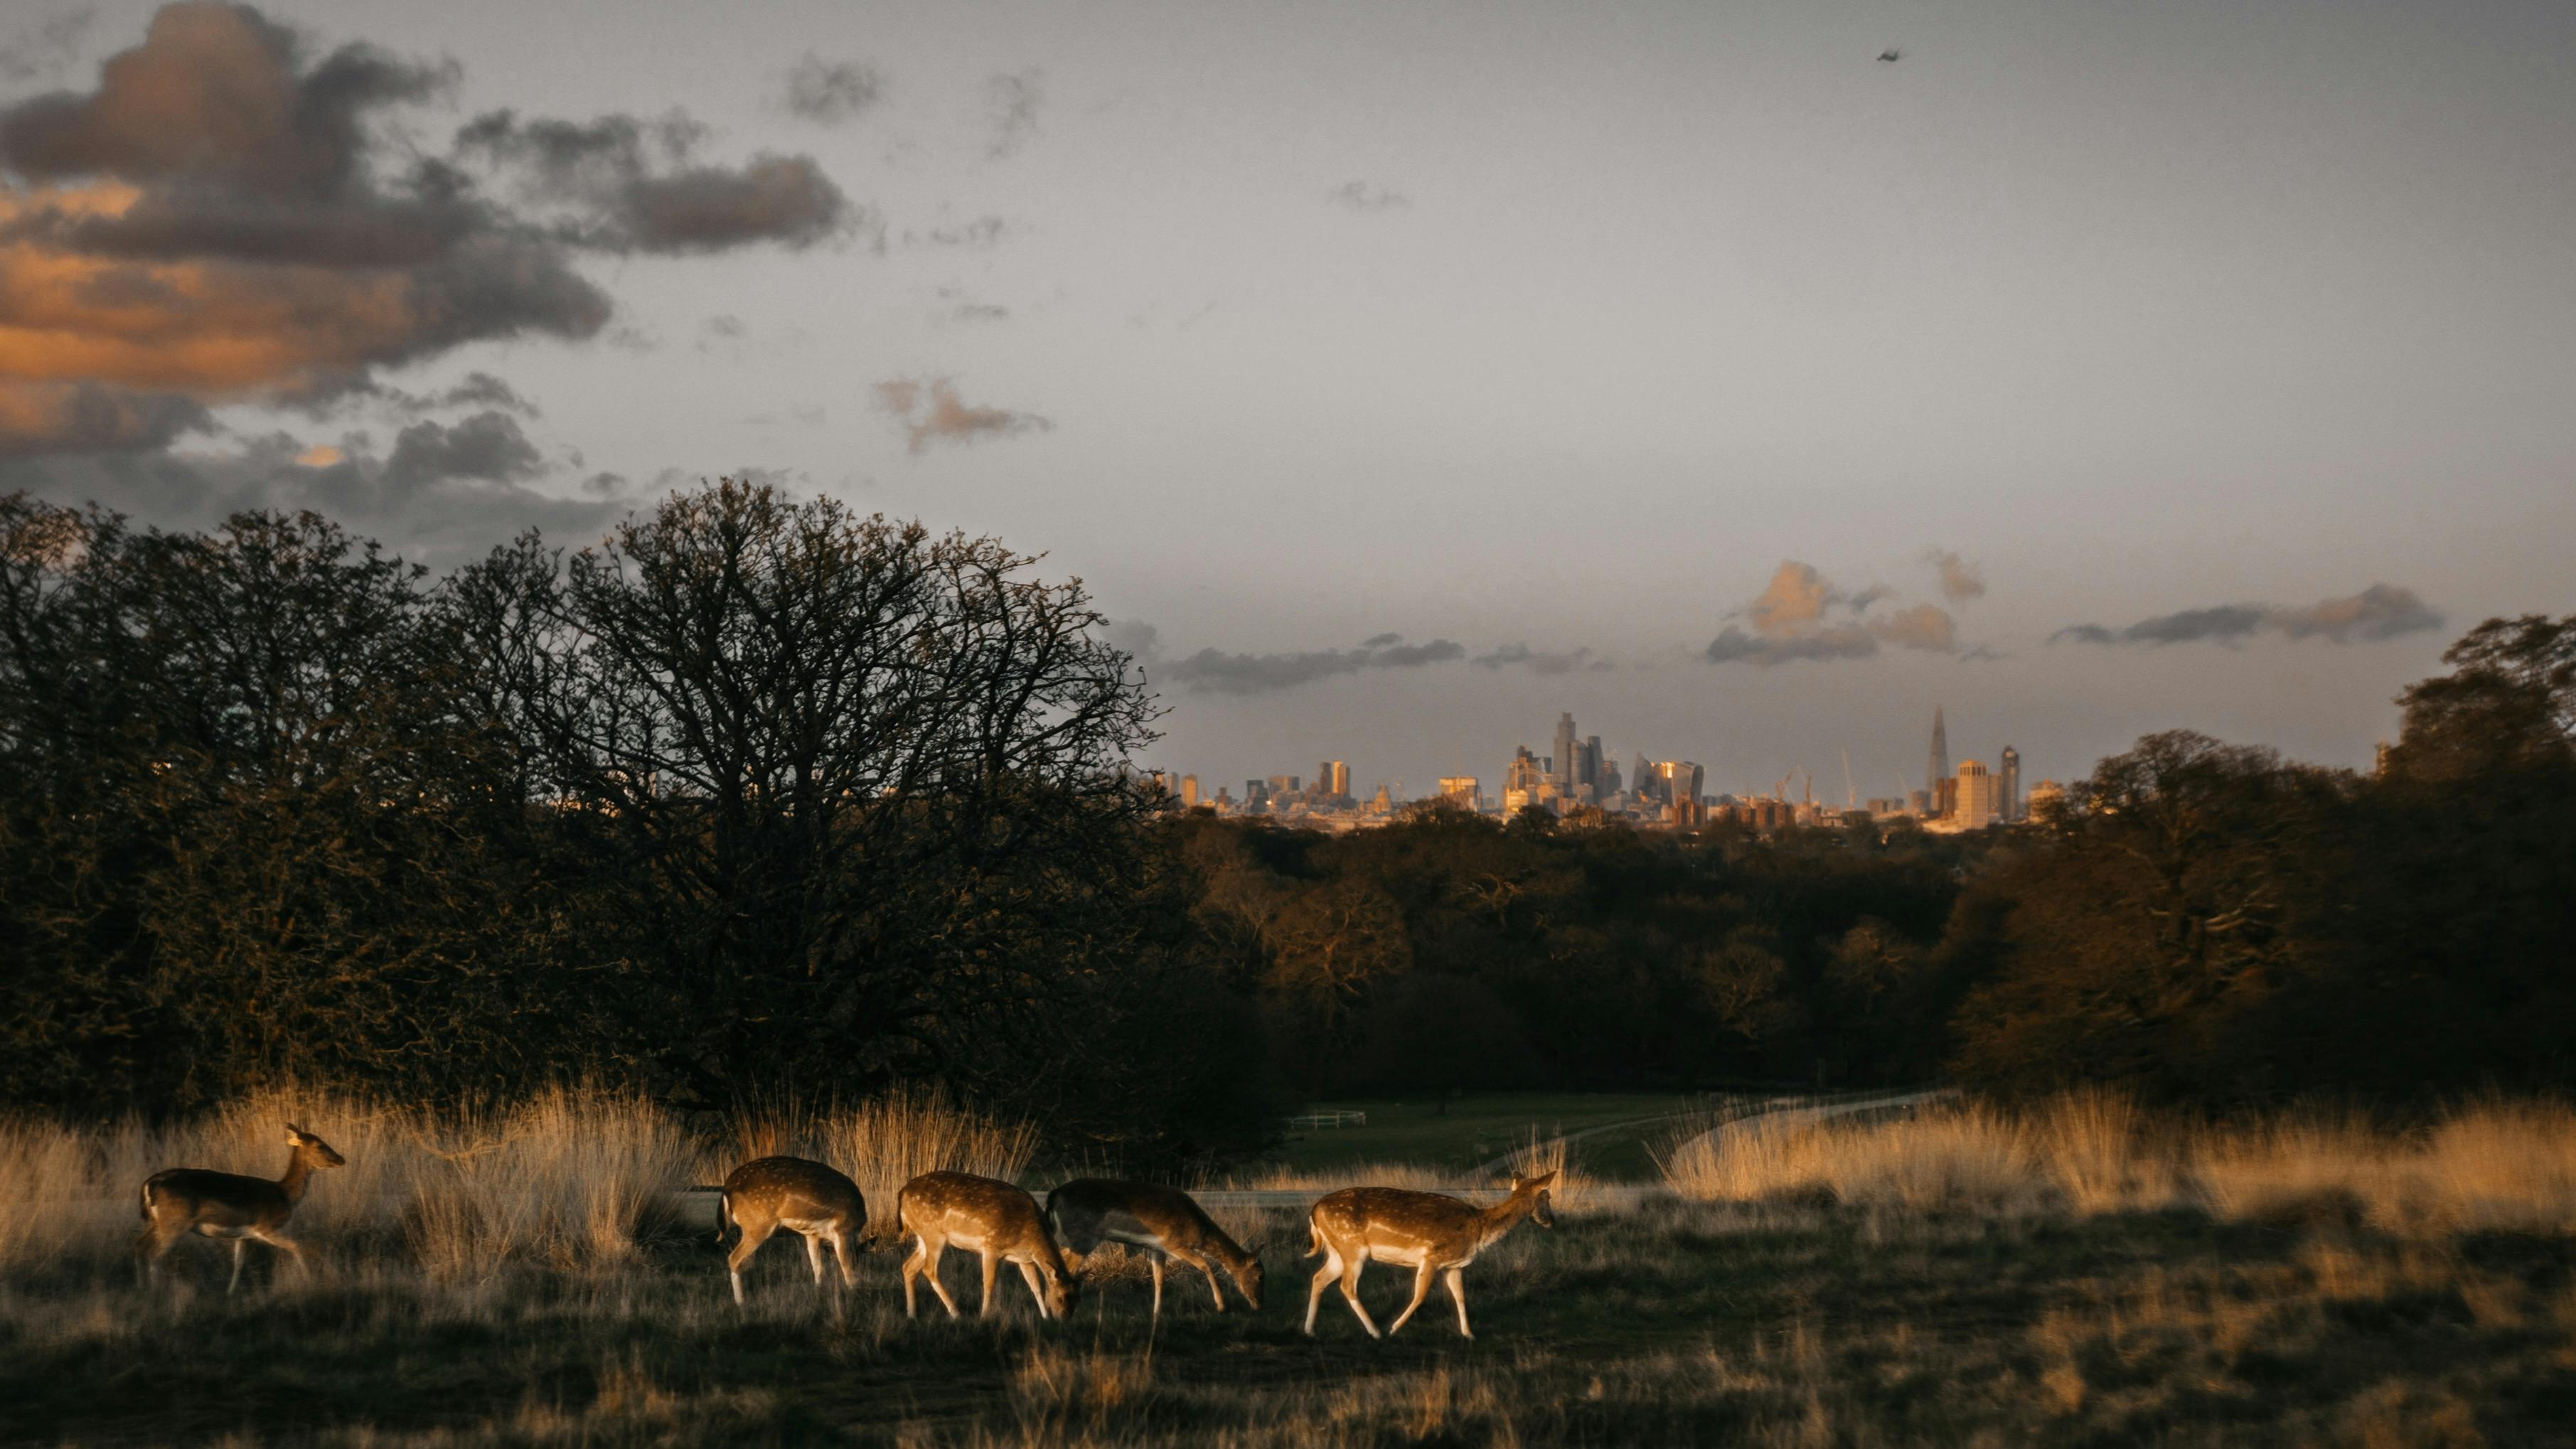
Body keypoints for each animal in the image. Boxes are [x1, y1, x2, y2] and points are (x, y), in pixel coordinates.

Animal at [137, 1124, 347, 1294]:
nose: (341, 1159)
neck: (285, 1195)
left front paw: (230, 1292)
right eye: (320, 1145)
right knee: (154, 1253)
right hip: (175, 1222)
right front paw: (308, 1279)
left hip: (158, 1222)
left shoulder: (244, 1235)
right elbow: (297, 1246)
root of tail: (149, 1184)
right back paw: (155, 1291)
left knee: (140, 1245)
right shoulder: (265, 1226)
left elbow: (238, 1263)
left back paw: (143, 1288)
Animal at [715, 1156, 867, 1306]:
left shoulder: (812, 1234)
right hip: (757, 1225)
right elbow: (849, 1273)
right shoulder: (843, 1231)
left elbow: (818, 1267)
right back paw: (741, 1303)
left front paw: (819, 1293)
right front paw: (854, 1297)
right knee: (734, 1258)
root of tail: (728, 1188)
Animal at [896, 1170, 1077, 1322]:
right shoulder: (991, 1245)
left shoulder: (1025, 1259)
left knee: (908, 1266)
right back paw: (956, 1313)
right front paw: (984, 1316)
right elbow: (989, 1283)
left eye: (1077, 1298)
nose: (1064, 1320)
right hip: (934, 1234)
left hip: (923, 1236)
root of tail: (902, 1192)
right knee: (928, 1269)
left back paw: (912, 1314)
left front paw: (1045, 1317)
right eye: (1059, 1298)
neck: (1030, 1236)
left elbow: (1036, 1286)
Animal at [1044, 1178, 1263, 1318]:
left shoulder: (1157, 1248)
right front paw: (1222, 1306)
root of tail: (1053, 1195)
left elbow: (1159, 1278)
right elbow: (1205, 1265)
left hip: (1069, 1238)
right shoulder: (1174, 1243)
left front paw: (1157, 1313)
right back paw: (1060, 1311)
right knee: (1063, 1269)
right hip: (1082, 1237)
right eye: (1260, 1275)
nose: (1258, 1304)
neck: (1199, 1231)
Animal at [1302, 1170, 1556, 1340]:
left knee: (1318, 1277)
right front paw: (1394, 1328)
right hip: (1352, 1247)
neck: (1479, 1230)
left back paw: (1310, 1330)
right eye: (1547, 1197)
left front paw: (1469, 1334)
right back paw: (1375, 1331)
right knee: (1347, 1286)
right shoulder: (1431, 1256)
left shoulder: (1454, 1265)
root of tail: (1314, 1210)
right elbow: (1420, 1294)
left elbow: (1460, 1296)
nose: (1551, 1221)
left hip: (1337, 1251)